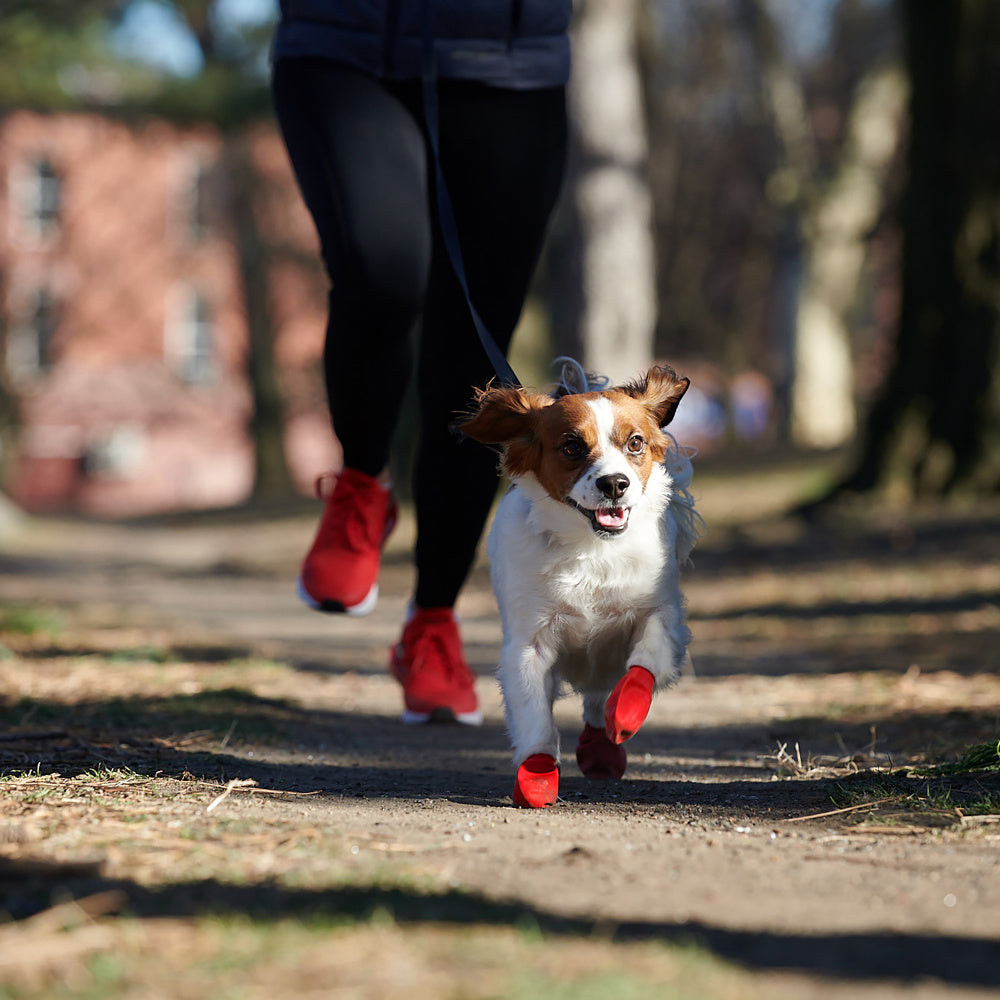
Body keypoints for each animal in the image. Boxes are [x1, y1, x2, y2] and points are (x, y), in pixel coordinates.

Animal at [460, 364, 704, 808]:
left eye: (635, 442)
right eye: (572, 447)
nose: (614, 484)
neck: (592, 549)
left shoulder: (661, 613)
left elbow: (645, 661)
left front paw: (626, 711)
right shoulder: (529, 645)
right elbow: (535, 718)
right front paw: (537, 773)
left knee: (598, 697)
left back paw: (604, 744)